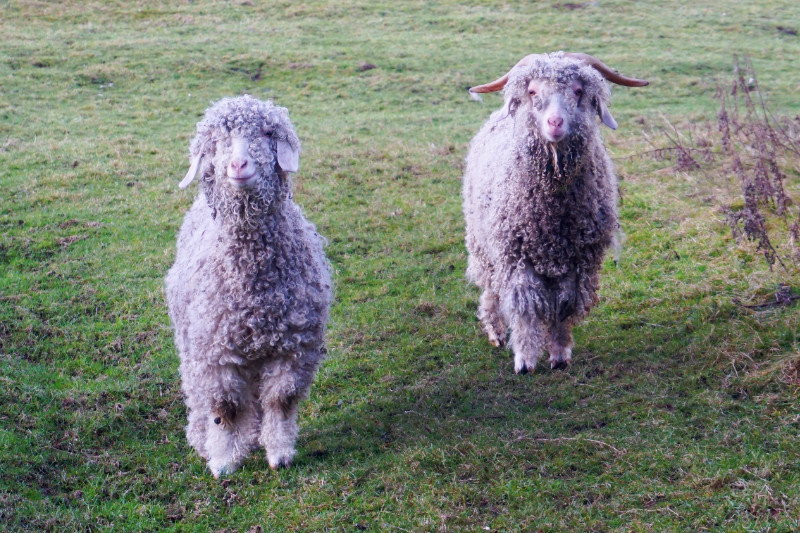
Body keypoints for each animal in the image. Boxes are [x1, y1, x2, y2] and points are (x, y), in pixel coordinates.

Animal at [165, 95, 332, 477]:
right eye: (215, 142)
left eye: (267, 133)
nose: (238, 164)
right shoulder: (216, 353)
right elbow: (225, 408)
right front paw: (224, 460)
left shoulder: (294, 347)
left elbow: (280, 399)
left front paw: (279, 452)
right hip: (190, 340)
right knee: (198, 393)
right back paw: (202, 439)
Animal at [462, 52, 647, 374]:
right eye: (533, 91)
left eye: (578, 91)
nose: (555, 122)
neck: (552, 213)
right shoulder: (516, 255)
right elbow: (524, 308)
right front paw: (524, 359)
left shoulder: (577, 259)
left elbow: (564, 305)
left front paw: (559, 354)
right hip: (482, 243)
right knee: (490, 288)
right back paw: (495, 332)